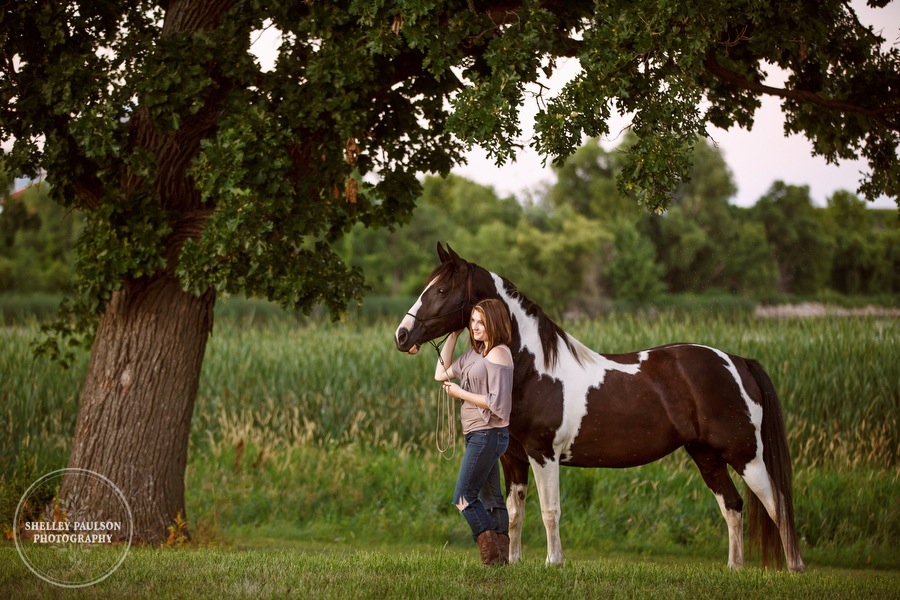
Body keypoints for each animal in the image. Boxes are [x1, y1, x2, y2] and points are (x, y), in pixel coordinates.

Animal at [398, 241, 804, 568]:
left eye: (442, 289)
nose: (402, 336)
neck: (533, 369)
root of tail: (737, 361)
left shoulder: (543, 454)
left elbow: (550, 510)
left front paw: (554, 563)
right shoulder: (513, 457)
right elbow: (515, 512)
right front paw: (513, 562)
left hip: (746, 455)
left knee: (777, 505)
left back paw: (793, 569)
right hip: (707, 455)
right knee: (732, 506)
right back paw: (734, 569)